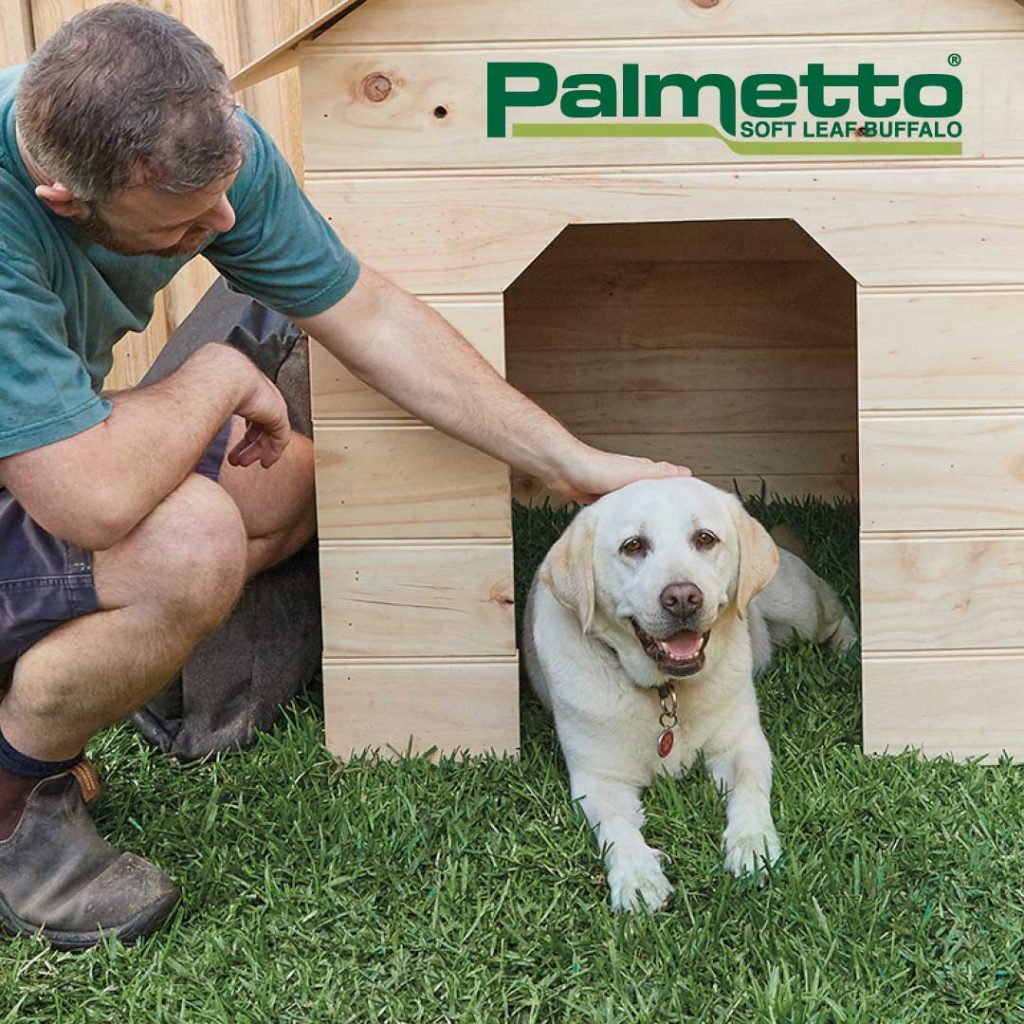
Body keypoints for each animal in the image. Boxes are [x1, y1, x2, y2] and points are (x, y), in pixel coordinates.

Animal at [520, 477, 856, 913]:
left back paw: (849, 649)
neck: (667, 691)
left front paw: (753, 846)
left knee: (836, 612)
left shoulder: (742, 744)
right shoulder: (598, 780)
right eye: (633, 546)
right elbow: (616, 827)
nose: (682, 597)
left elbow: (749, 790)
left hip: (797, 609)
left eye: (705, 538)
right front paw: (638, 876)